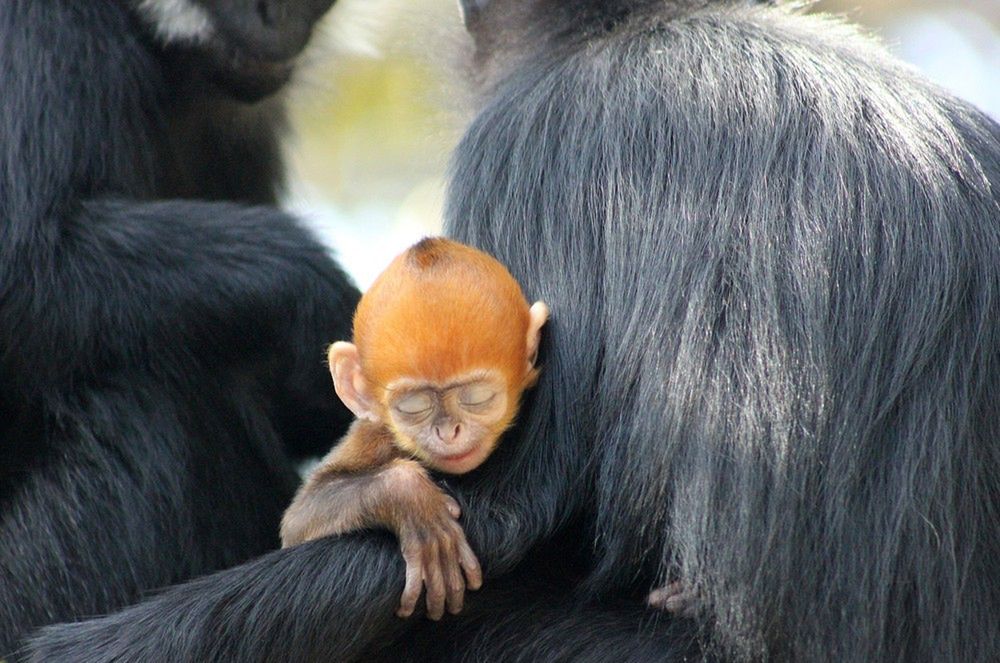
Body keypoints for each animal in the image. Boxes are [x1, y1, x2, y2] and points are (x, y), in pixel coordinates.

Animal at [280, 237, 548, 624]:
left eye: (476, 398)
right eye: (414, 407)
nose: (448, 431)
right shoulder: (374, 436)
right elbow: (297, 523)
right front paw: (411, 500)